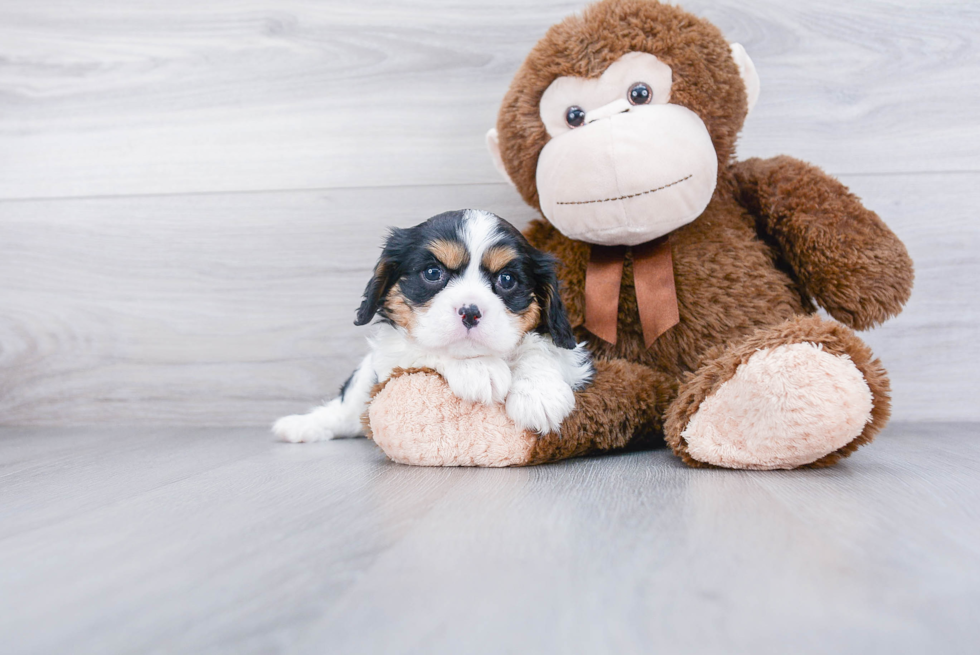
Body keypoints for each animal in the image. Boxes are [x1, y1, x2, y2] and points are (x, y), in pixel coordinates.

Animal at [274, 211, 596, 446]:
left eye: (507, 279)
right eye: (432, 273)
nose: (470, 312)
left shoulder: (575, 359)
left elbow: (541, 348)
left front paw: (539, 393)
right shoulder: (389, 357)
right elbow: (423, 349)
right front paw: (478, 369)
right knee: (345, 411)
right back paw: (302, 425)